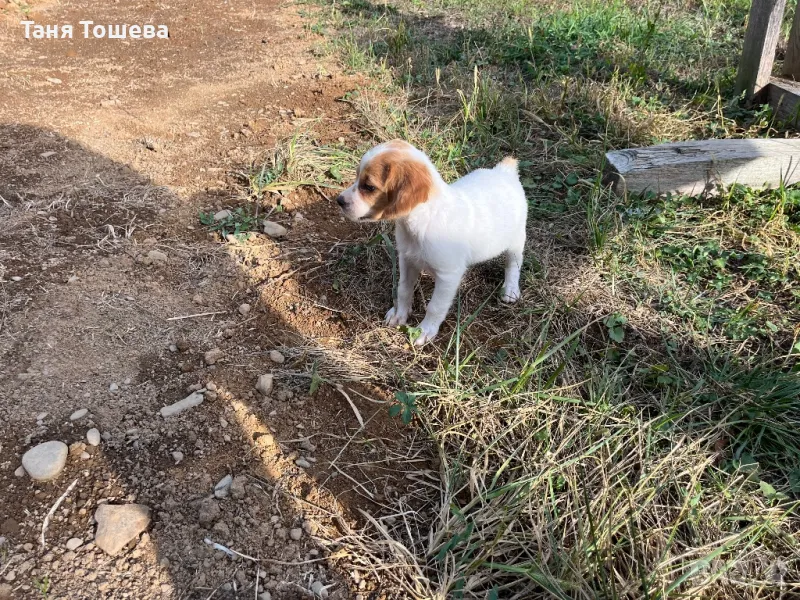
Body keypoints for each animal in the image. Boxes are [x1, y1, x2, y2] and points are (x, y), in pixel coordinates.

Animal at [336, 139, 528, 344]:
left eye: (369, 187)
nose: (339, 200)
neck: (420, 222)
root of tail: (504, 171)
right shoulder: (407, 260)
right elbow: (404, 289)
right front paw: (399, 314)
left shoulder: (448, 275)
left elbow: (435, 307)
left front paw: (425, 330)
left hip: (516, 241)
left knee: (513, 264)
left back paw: (510, 289)